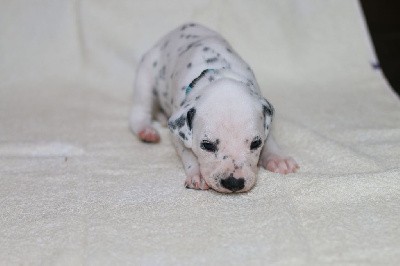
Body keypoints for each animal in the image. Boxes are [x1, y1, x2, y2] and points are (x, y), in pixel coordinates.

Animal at [130, 22, 298, 193]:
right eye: (207, 145)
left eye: (255, 143)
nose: (234, 183)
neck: (219, 74)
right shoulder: (178, 134)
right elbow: (187, 152)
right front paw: (197, 173)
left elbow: (269, 139)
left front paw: (278, 158)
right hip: (145, 77)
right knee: (139, 112)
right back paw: (146, 130)